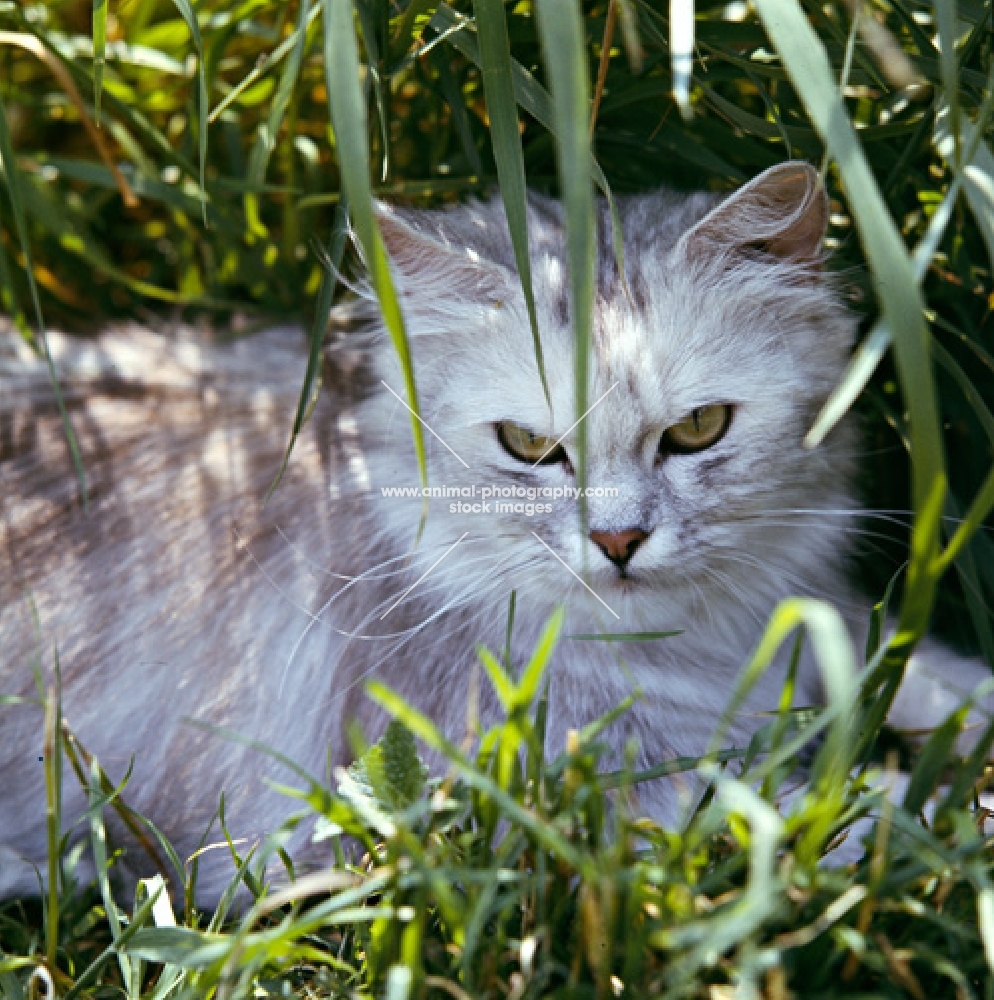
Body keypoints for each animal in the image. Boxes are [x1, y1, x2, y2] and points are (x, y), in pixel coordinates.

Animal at [0, 160, 984, 904]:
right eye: (529, 446)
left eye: (699, 429)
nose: (618, 543)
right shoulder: (582, 794)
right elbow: (845, 819)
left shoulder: (817, 621)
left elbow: (933, 680)